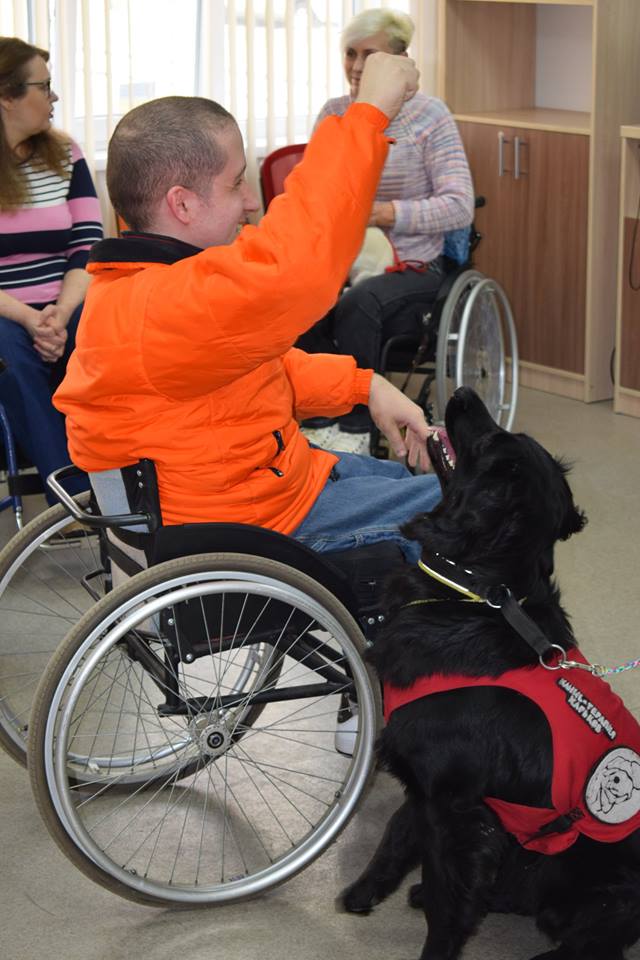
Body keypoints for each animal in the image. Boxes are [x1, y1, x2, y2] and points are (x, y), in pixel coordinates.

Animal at [341, 386, 640, 960]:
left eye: (491, 440)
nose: (461, 391)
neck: (477, 595)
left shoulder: (455, 807)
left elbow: (446, 900)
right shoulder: (425, 784)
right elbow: (396, 835)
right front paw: (366, 890)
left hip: (591, 885)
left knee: (592, 940)